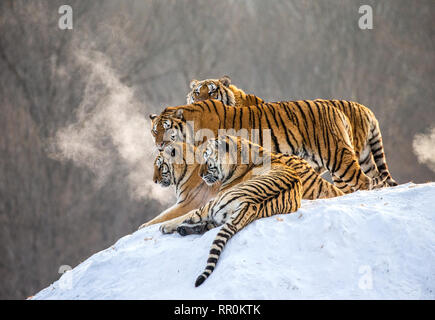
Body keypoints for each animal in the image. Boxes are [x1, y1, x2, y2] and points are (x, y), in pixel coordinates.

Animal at [187, 76, 398, 189]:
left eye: (212, 92)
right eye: (197, 92)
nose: (200, 102)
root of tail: (365, 109)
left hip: (338, 158)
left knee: (362, 182)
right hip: (364, 158)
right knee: (377, 179)